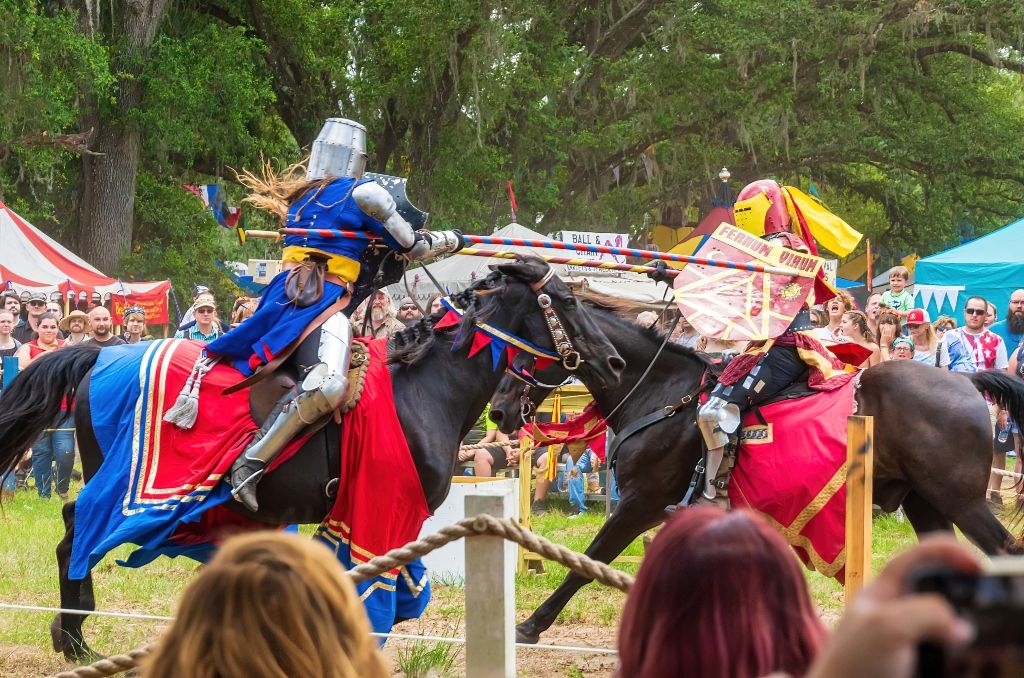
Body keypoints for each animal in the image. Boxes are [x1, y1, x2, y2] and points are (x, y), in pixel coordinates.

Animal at [0, 258, 622, 659]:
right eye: (569, 301)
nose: (615, 362)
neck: (425, 388)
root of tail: (99, 353)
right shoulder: (382, 513)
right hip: (118, 482)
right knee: (77, 528)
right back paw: (74, 637)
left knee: (73, 525)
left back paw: (74, 632)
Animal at [489, 303, 1024, 647]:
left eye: (528, 348)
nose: (497, 411)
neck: (661, 392)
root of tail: (967, 381)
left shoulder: (639, 504)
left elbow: (588, 561)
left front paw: (530, 626)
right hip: (926, 503)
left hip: (962, 501)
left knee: (1003, 551)